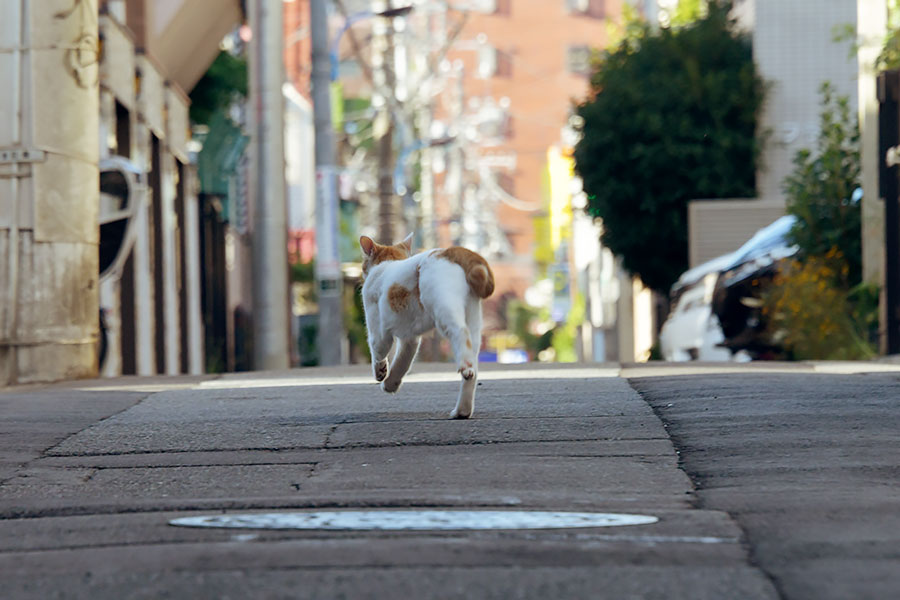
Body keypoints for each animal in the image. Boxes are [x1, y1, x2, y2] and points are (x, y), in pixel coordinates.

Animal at [358, 232, 496, 420]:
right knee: (472, 366)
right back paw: (462, 411)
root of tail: (453, 250)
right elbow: (401, 363)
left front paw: (380, 373)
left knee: (460, 333)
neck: (388, 263)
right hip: (472, 317)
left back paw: (465, 368)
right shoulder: (410, 340)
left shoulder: (378, 331)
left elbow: (378, 352)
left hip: (444, 309)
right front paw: (391, 384)